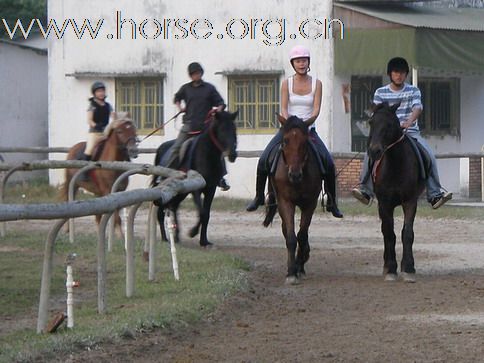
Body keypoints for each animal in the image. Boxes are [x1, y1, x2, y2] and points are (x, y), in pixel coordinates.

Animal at [262, 115, 324, 286]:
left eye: (305, 142)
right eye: (285, 140)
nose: (295, 175)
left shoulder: (310, 203)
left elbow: (302, 235)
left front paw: (299, 266)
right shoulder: (285, 202)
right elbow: (291, 237)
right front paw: (291, 273)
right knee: (285, 229)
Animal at [368, 104, 426, 282]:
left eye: (389, 125)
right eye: (371, 122)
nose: (374, 151)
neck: (396, 165)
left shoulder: (410, 202)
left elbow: (407, 233)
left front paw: (408, 268)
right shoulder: (385, 204)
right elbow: (389, 234)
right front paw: (391, 269)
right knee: (385, 231)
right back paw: (386, 266)